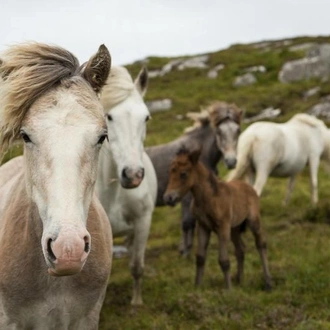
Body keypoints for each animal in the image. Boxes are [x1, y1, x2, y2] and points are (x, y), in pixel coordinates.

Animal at [96, 65, 157, 306]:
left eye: (146, 117)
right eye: (109, 116)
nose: (133, 175)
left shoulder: (143, 223)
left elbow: (137, 266)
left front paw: (136, 303)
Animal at [146, 102, 244, 256]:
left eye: (238, 130)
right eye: (219, 131)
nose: (231, 161)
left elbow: (190, 222)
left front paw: (185, 248)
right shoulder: (186, 197)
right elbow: (187, 223)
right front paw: (185, 251)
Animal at [164, 148, 272, 292]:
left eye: (183, 174)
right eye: (170, 172)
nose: (168, 198)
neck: (208, 197)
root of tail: (249, 187)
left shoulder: (223, 227)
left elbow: (224, 260)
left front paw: (229, 291)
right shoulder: (203, 227)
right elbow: (200, 258)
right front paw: (197, 287)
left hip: (253, 222)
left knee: (261, 244)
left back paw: (268, 282)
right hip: (234, 228)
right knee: (240, 249)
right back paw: (239, 279)